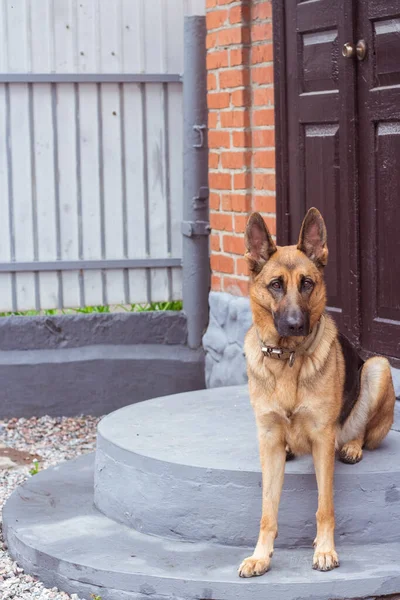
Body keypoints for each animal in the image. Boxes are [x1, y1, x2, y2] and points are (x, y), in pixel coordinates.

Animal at [239, 207, 396, 576]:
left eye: (307, 284)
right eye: (276, 285)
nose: (296, 325)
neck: (287, 358)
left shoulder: (323, 440)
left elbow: (325, 505)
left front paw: (325, 550)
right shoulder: (269, 438)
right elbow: (267, 510)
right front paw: (260, 555)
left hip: (378, 366)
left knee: (360, 430)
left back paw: (352, 446)